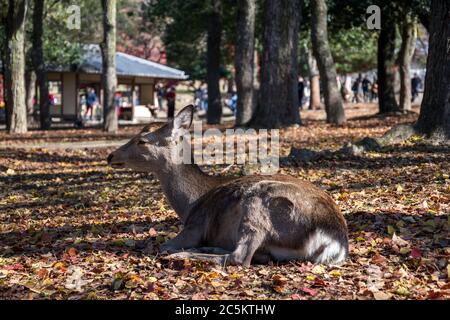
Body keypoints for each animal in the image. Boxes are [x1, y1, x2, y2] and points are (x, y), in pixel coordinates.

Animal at [107, 105, 350, 268]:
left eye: (142, 140)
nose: (110, 156)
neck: (190, 204)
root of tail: (335, 242)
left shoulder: (195, 226)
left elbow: (164, 245)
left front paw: (178, 250)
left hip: (258, 203)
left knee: (240, 257)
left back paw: (184, 255)